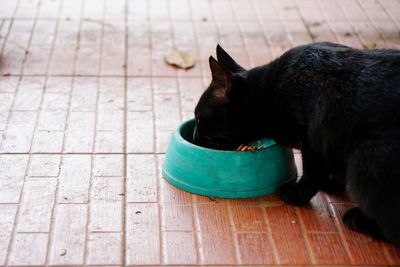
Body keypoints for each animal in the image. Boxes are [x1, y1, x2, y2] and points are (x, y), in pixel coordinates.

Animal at [193, 43, 400, 247]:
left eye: (199, 118)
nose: (194, 137)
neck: (267, 95)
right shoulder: (331, 144)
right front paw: (333, 183)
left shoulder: (314, 142)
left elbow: (312, 176)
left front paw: (295, 195)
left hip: (366, 159)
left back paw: (360, 221)